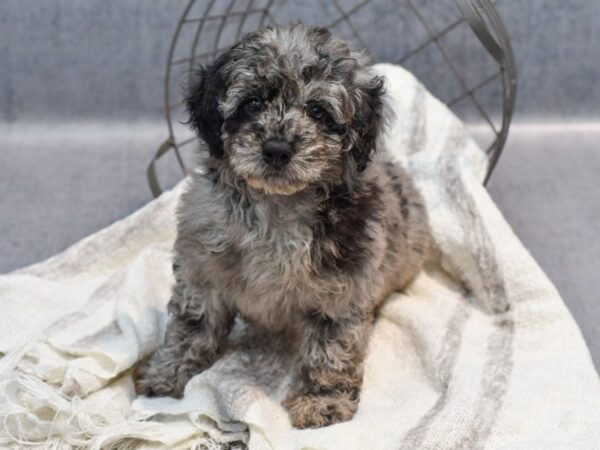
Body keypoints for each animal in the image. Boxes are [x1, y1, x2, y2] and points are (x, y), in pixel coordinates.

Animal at [134, 22, 428, 428]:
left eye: (318, 111)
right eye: (253, 103)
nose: (276, 149)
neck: (276, 209)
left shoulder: (341, 289)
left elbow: (330, 349)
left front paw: (322, 401)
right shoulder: (201, 269)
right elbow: (192, 325)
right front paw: (168, 373)